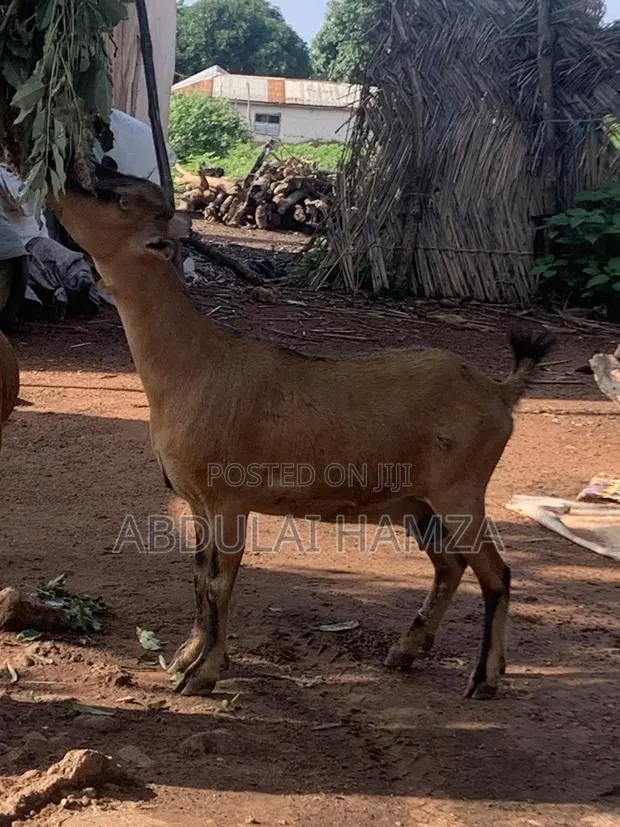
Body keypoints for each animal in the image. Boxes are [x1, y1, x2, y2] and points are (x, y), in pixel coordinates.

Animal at [55, 169, 553, 700]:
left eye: (117, 198)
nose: (63, 186)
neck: (195, 365)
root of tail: (500, 391)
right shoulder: (197, 501)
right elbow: (198, 578)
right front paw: (186, 655)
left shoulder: (229, 498)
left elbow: (219, 583)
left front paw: (203, 674)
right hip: (416, 503)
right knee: (450, 564)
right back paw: (405, 650)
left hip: (460, 492)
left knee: (495, 572)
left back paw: (484, 678)